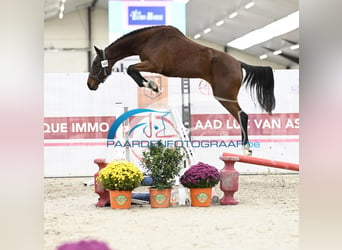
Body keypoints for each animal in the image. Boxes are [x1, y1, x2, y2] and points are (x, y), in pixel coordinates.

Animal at [86, 24, 276, 154]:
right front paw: (152, 86)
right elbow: (132, 70)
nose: (90, 84)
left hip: (224, 95)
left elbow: (130, 69)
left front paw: (152, 86)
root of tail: (238, 63)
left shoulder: (154, 65)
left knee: (242, 115)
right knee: (241, 116)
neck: (149, 40)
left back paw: (246, 149)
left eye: (95, 63)